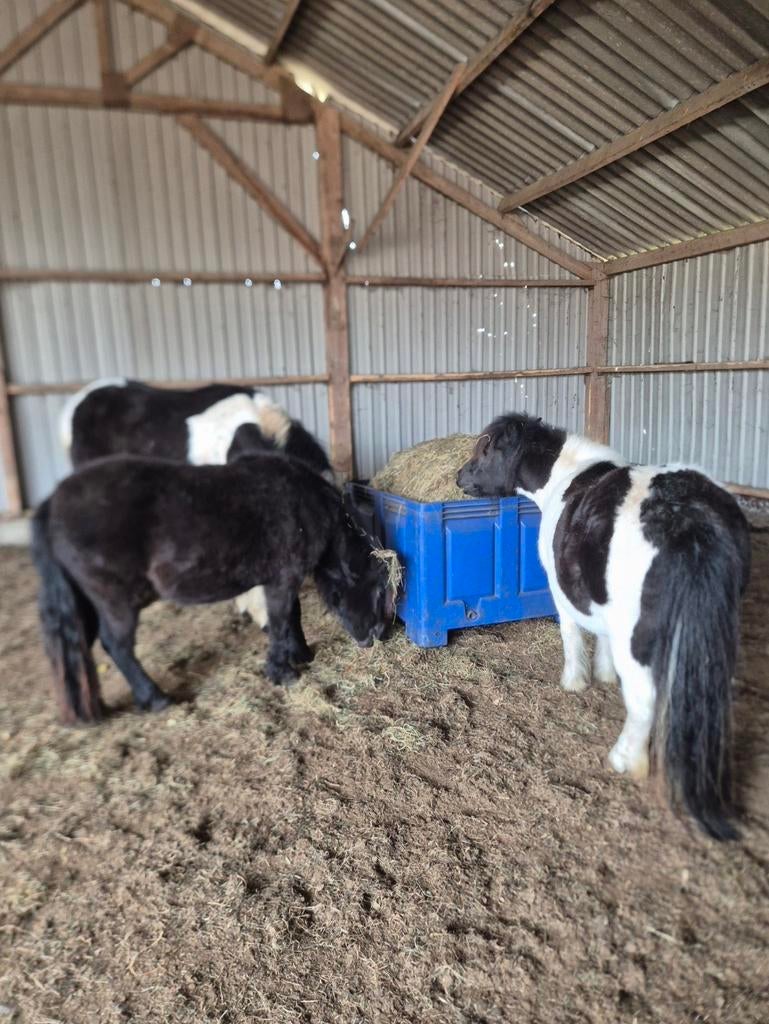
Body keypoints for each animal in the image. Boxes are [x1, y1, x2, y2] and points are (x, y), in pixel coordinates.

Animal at [32, 452, 397, 724]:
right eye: (381, 589)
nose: (379, 635)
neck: (304, 504)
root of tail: (53, 502)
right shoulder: (282, 581)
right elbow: (282, 621)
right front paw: (284, 671)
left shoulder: (280, 581)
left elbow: (291, 617)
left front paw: (301, 655)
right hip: (116, 603)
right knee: (117, 647)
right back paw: (156, 698)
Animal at [457, 413, 751, 840]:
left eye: (485, 448)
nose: (459, 477)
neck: (567, 476)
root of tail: (689, 519)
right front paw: (605, 675)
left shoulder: (562, 593)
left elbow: (572, 635)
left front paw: (576, 680)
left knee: (644, 701)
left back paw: (624, 759)